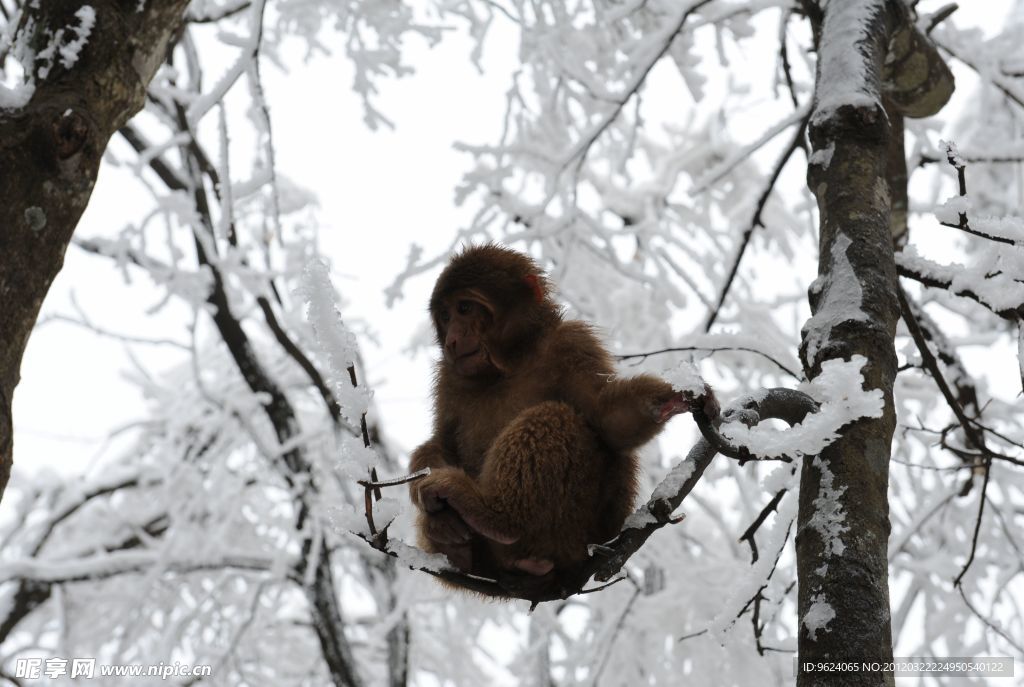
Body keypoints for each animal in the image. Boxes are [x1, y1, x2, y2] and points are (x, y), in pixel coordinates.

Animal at [407, 244, 704, 589]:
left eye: (464, 308)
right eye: (445, 315)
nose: (453, 338)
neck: (511, 363)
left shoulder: (572, 342)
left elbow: (605, 418)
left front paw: (669, 399)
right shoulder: (449, 377)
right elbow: (442, 441)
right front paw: (435, 511)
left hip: (574, 532)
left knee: (554, 416)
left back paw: (495, 517)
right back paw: (455, 542)